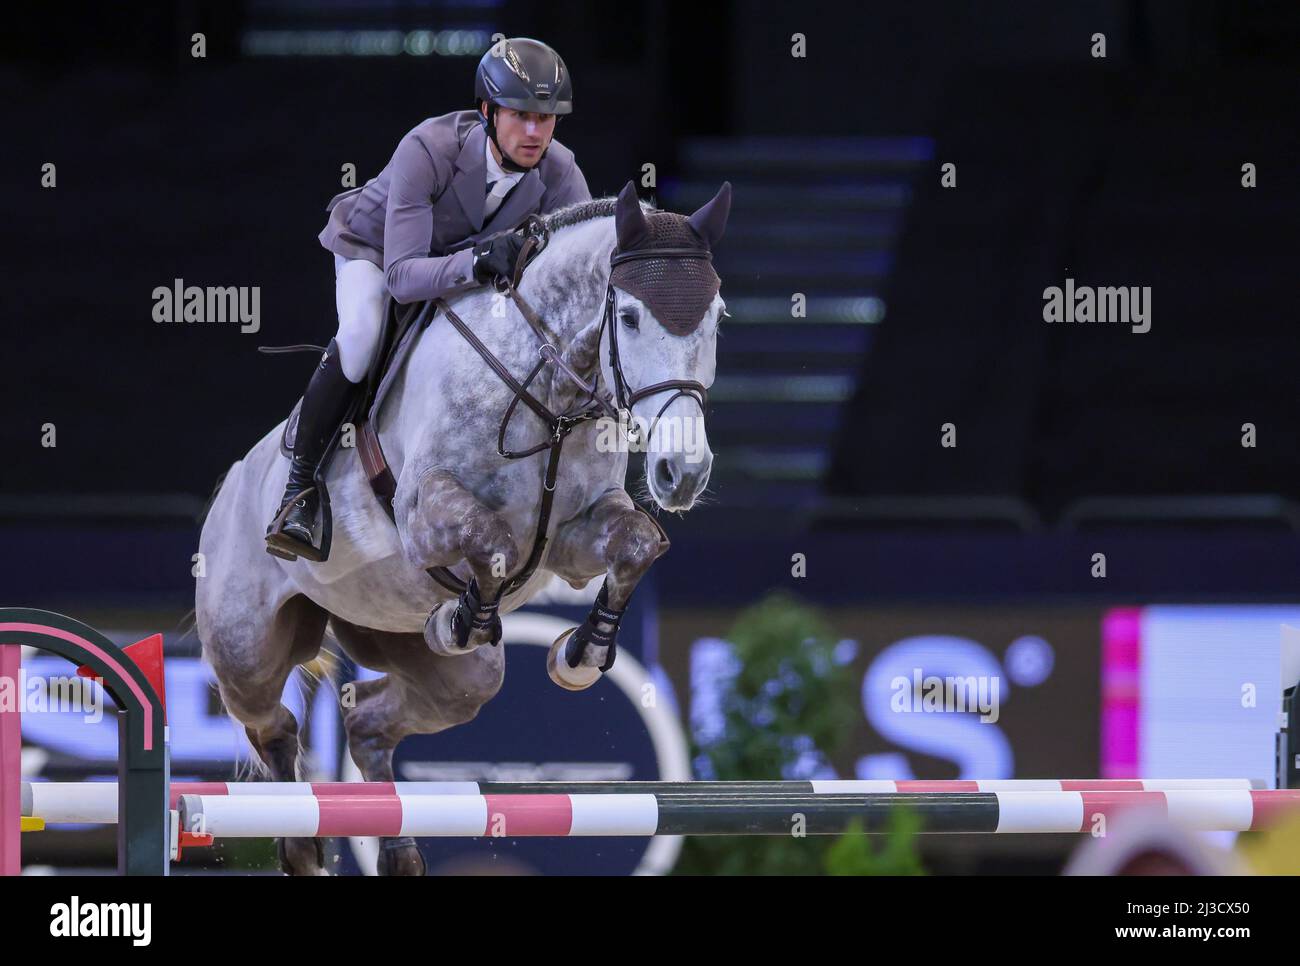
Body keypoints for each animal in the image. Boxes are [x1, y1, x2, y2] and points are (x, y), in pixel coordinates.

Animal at [198, 179, 738, 878]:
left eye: (717, 317)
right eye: (629, 317)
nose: (683, 473)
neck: (547, 392)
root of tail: (234, 480)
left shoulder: (575, 538)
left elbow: (639, 545)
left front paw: (583, 652)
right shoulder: (424, 516)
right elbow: (493, 542)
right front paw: (463, 620)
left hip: (444, 671)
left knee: (367, 719)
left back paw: (396, 848)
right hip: (247, 647)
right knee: (272, 724)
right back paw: (300, 842)